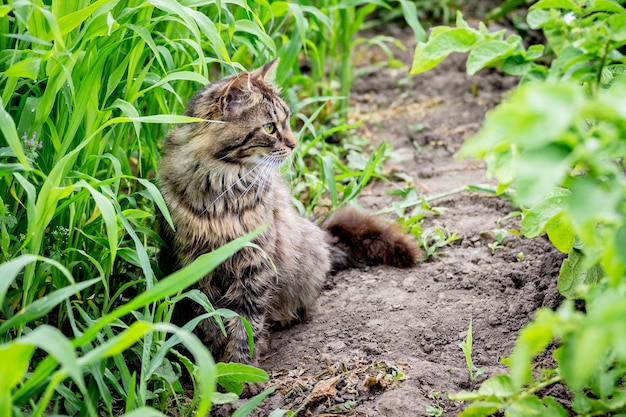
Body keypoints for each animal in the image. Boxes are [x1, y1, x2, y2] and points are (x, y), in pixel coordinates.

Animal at [156, 59, 420, 368]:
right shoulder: (195, 265)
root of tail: (322, 237)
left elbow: (246, 324)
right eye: (270, 127)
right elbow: (209, 321)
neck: (222, 191)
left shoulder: (255, 265)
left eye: (287, 121)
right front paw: (212, 363)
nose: (294, 144)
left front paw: (240, 368)